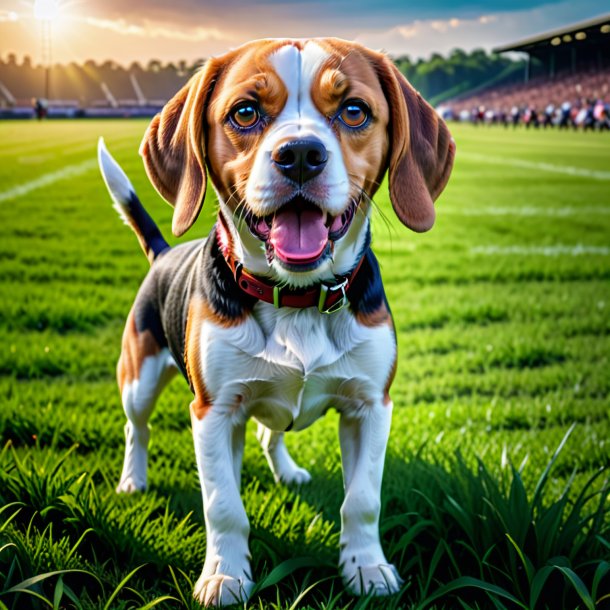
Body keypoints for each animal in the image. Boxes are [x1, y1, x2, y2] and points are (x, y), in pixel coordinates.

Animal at [98, 36, 452, 604]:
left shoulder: (371, 407)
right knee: (138, 428)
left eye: (354, 110)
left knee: (271, 434)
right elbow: (223, 506)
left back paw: (287, 472)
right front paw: (225, 576)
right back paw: (133, 480)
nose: (301, 155)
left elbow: (363, 502)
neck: (298, 299)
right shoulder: (214, 412)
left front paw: (367, 569)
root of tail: (162, 253)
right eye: (245, 112)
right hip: (139, 377)